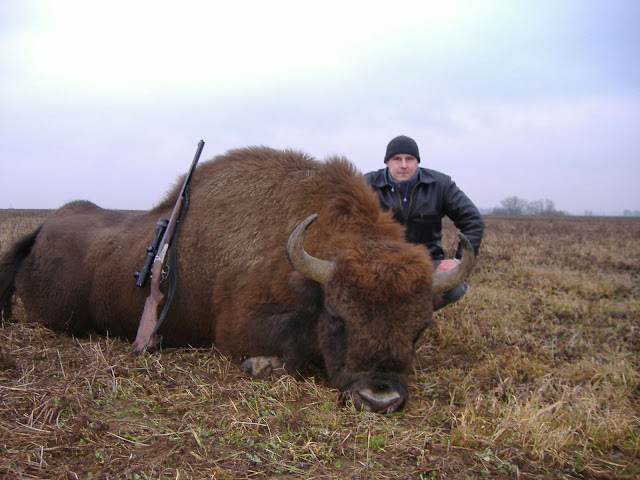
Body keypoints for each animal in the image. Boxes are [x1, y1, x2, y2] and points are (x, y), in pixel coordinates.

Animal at [0, 146, 474, 413]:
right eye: (338, 318)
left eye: (420, 328)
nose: (380, 398)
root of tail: (41, 232)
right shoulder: (236, 327)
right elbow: (290, 342)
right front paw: (260, 365)